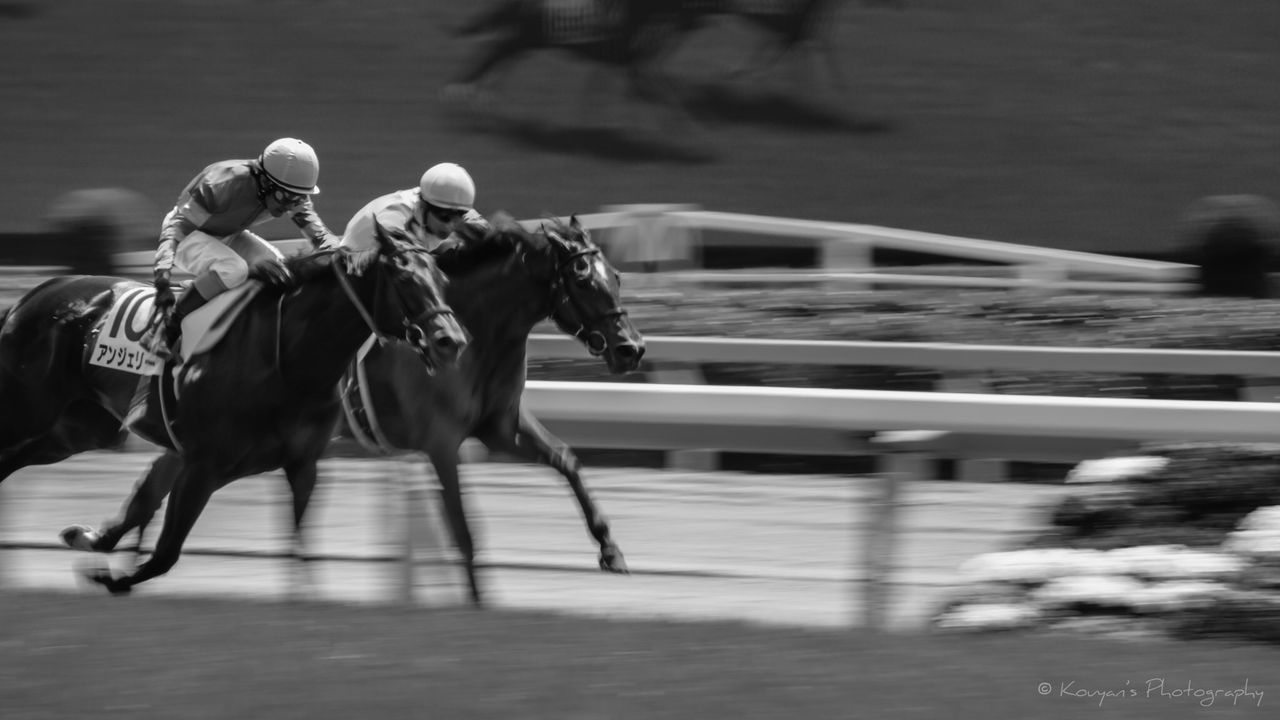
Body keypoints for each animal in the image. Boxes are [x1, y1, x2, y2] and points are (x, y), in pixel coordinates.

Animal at [1, 225, 465, 594]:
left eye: (442, 277)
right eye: (403, 277)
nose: (450, 341)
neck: (287, 359)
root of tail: (31, 296)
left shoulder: (302, 465)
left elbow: (300, 550)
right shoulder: (202, 465)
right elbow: (164, 553)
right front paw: (108, 575)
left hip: (74, 431)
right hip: (27, 414)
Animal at [63, 213, 645, 604]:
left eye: (617, 277)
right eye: (584, 280)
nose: (631, 349)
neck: (477, 329)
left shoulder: (500, 427)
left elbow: (568, 460)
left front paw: (611, 551)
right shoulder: (441, 442)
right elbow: (462, 526)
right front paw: (478, 599)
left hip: (208, 440)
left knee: (156, 481)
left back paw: (94, 537)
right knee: (162, 482)